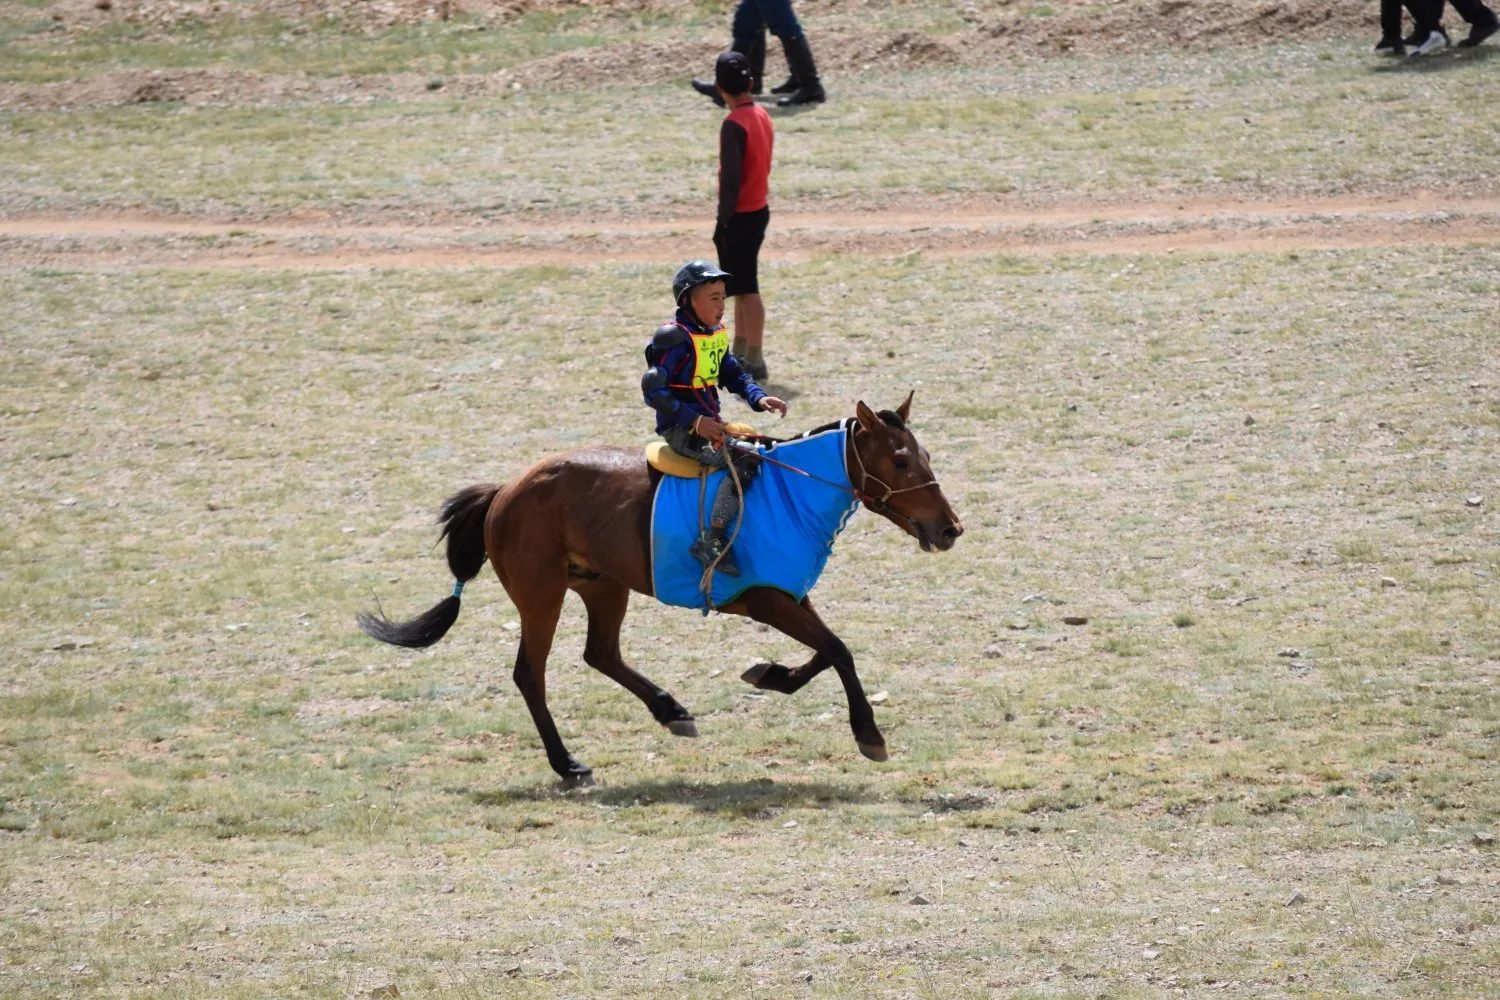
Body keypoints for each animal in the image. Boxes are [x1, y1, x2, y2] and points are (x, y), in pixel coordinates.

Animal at [357, 394, 963, 785]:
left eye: (927, 457)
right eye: (901, 460)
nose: (950, 528)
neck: (791, 492)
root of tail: (507, 488)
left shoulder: (788, 595)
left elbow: (826, 651)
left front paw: (769, 674)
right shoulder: (767, 599)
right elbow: (838, 650)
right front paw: (868, 733)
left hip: (603, 587)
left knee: (601, 653)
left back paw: (671, 711)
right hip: (541, 596)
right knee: (531, 674)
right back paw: (568, 764)